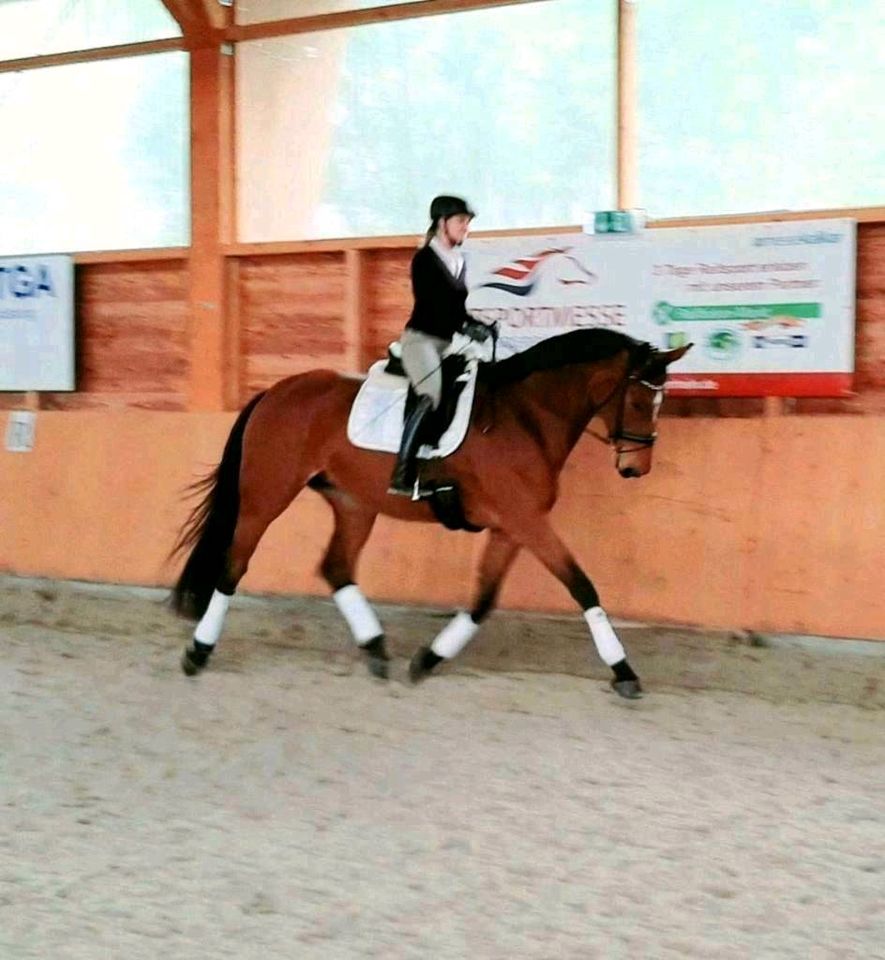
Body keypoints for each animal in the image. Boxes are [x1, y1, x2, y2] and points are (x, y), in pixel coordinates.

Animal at [167, 330, 692, 696]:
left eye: (661, 400)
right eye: (641, 399)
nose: (635, 468)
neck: (527, 417)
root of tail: (276, 392)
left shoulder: (511, 527)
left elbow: (483, 600)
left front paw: (428, 659)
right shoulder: (525, 520)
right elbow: (582, 586)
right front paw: (624, 671)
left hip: (354, 502)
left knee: (336, 567)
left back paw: (376, 648)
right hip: (266, 496)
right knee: (233, 567)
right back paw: (198, 653)